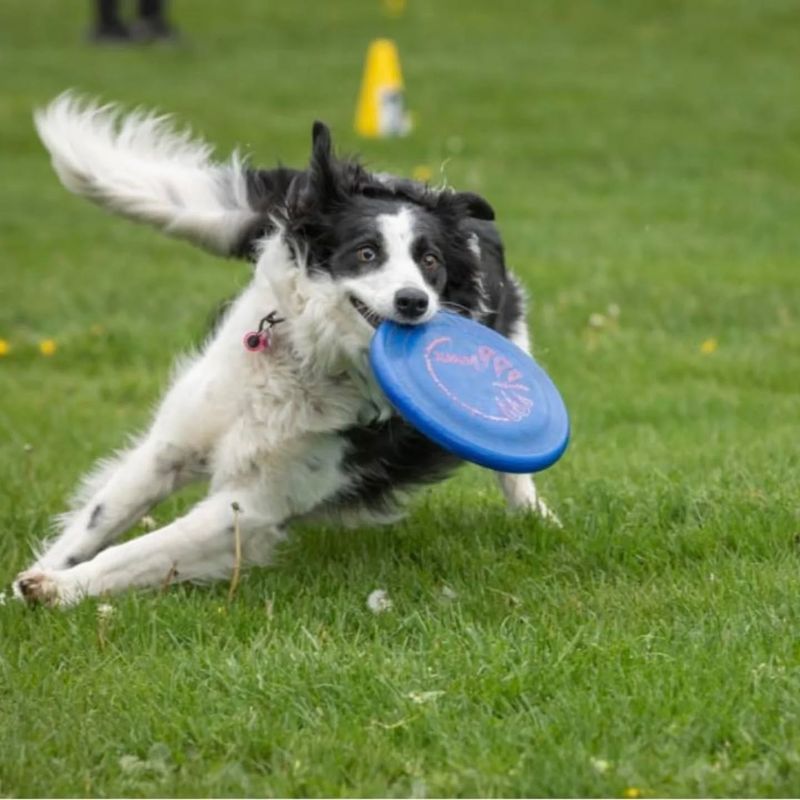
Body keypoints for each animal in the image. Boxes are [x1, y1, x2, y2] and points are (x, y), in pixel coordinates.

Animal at [12, 94, 556, 608]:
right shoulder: (170, 446)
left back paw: (537, 517)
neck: (307, 360)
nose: (414, 302)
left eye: (430, 261)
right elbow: (97, 521)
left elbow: (137, 551)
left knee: (514, 472)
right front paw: (32, 584)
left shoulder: (254, 503)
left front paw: (56, 589)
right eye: (366, 253)